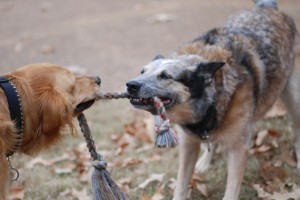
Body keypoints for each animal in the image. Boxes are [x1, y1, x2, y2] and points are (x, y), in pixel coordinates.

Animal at [125, 0, 298, 199]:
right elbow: (181, 183)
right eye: (142, 71)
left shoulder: (238, 149)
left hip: (294, 96)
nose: (131, 85)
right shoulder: (188, 143)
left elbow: (231, 190)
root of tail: (267, 7)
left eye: (165, 76)